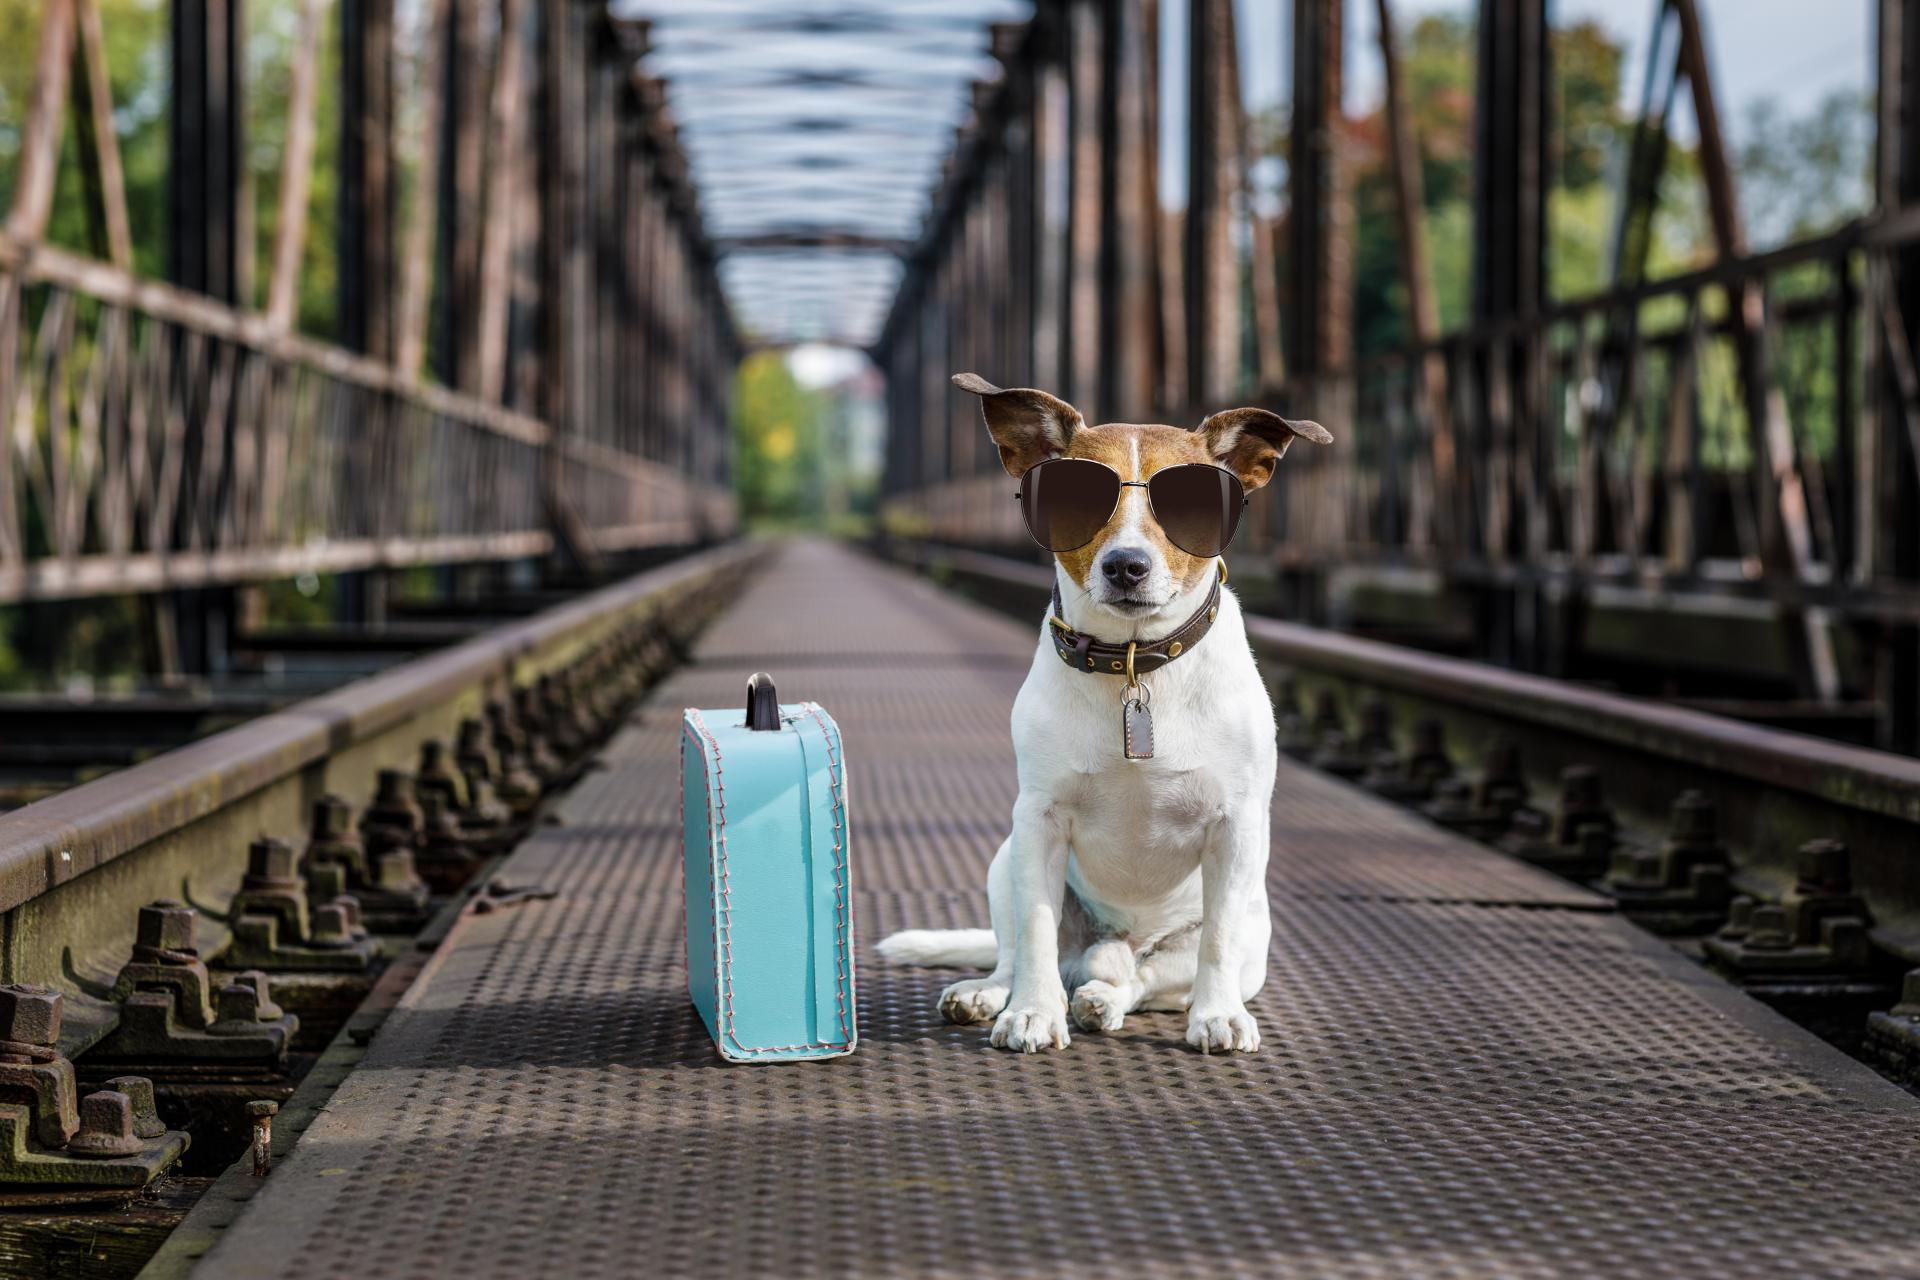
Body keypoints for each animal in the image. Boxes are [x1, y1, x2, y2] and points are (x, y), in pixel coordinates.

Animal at [879, 376, 1328, 1059]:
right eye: (1077, 498)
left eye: (1190, 503)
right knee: (1016, 952)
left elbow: (1217, 940)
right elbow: (1036, 932)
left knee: (1145, 981)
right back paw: (991, 993)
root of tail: (1109, 947)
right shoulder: (1039, 822)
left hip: (1243, 937)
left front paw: (1219, 1015)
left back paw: (1104, 1000)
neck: (1136, 663)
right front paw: (1033, 1013)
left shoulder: (1237, 827)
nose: (1126, 565)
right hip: (1004, 862)